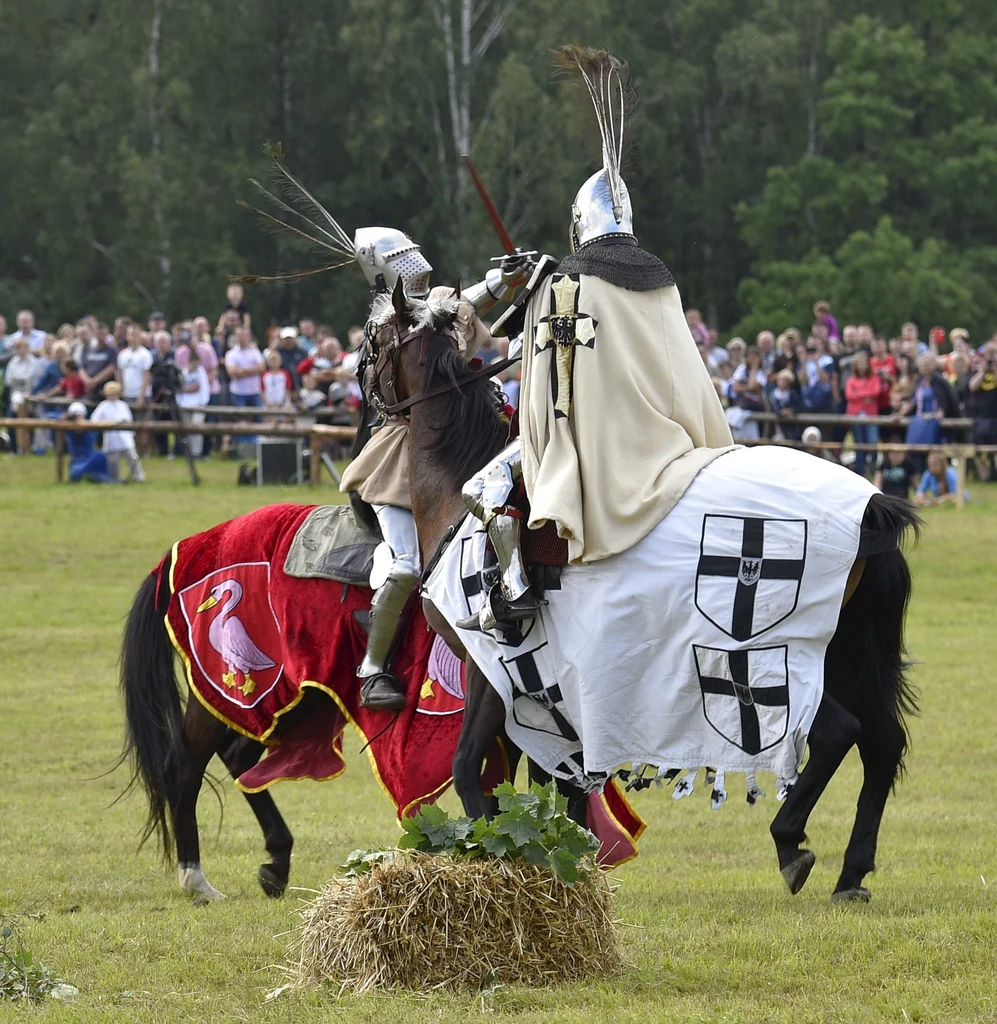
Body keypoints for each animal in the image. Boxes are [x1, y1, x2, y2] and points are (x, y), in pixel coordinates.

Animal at [364, 278, 921, 897]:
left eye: (374, 337)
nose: (368, 401)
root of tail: (872, 504)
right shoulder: (541, 687)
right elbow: (550, 783)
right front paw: (561, 863)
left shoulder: (492, 668)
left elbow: (469, 770)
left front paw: (496, 859)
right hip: (845, 651)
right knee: (881, 744)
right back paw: (852, 872)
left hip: (765, 664)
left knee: (834, 732)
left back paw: (790, 842)